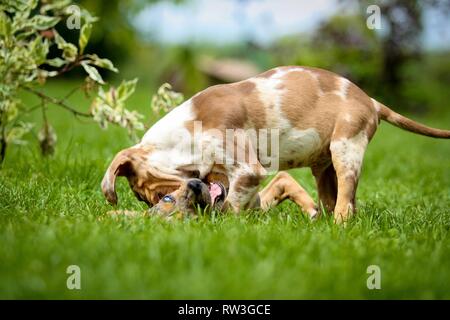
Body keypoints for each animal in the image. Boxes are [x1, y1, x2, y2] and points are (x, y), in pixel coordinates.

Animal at [101, 66, 450, 224]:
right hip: (323, 167)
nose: (152, 207)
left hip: (346, 149)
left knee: (346, 202)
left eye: (157, 196)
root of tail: (373, 102)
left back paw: (338, 227)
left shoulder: (247, 171)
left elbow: (231, 206)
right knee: (335, 201)